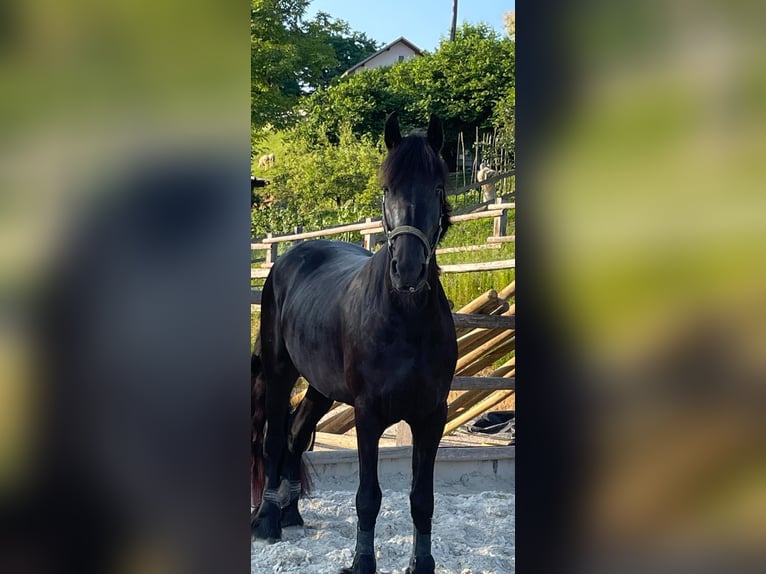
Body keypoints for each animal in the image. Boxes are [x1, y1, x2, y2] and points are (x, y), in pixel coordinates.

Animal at [251, 112, 457, 574]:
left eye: (438, 188)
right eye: (387, 189)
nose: (408, 271)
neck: (405, 318)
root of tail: (291, 256)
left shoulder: (432, 415)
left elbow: (423, 499)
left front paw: (422, 564)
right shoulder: (368, 414)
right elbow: (368, 497)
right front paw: (362, 562)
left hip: (320, 387)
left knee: (295, 435)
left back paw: (292, 514)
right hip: (279, 371)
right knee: (274, 439)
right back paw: (268, 520)